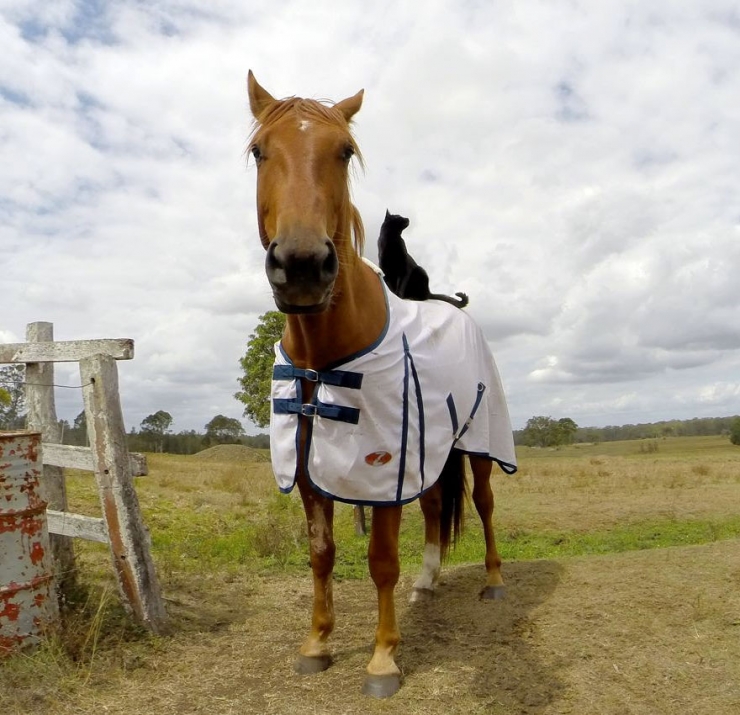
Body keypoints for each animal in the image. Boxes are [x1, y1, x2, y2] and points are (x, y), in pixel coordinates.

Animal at [246, 71, 517, 698]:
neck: (323, 357)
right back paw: (429, 580)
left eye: (344, 151)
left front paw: (383, 659)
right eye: (259, 152)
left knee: (485, 504)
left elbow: (381, 561)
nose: (302, 264)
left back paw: (492, 580)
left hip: (479, 441)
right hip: (435, 448)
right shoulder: (309, 470)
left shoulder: (384, 470)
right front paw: (317, 644)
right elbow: (322, 554)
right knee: (438, 505)